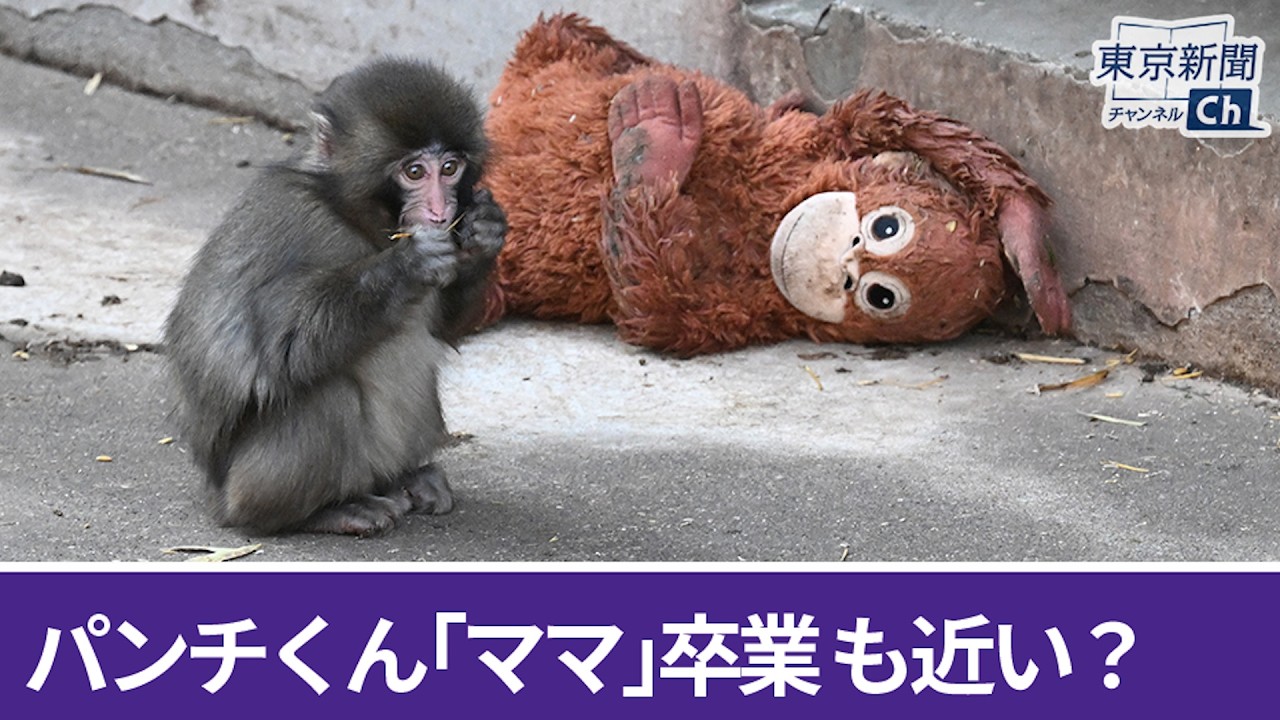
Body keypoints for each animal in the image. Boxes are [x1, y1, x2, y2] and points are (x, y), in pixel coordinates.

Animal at [163, 57, 506, 536]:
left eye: (451, 167)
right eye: (414, 172)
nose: (440, 211)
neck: (353, 217)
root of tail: (217, 496)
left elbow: (443, 328)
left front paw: (484, 233)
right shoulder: (301, 228)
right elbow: (279, 345)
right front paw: (406, 265)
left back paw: (404, 478)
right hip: (245, 488)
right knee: (328, 396)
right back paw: (322, 511)